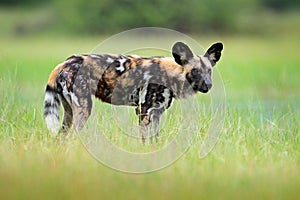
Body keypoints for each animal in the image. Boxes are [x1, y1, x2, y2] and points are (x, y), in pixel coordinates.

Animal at [44, 41, 223, 140]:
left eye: (209, 71)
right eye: (195, 71)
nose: (208, 85)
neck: (171, 74)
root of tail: (65, 62)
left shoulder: (156, 113)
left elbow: (155, 140)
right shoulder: (144, 111)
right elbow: (145, 141)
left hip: (69, 113)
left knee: (61, 139)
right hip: (83, 109)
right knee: (72, 137)